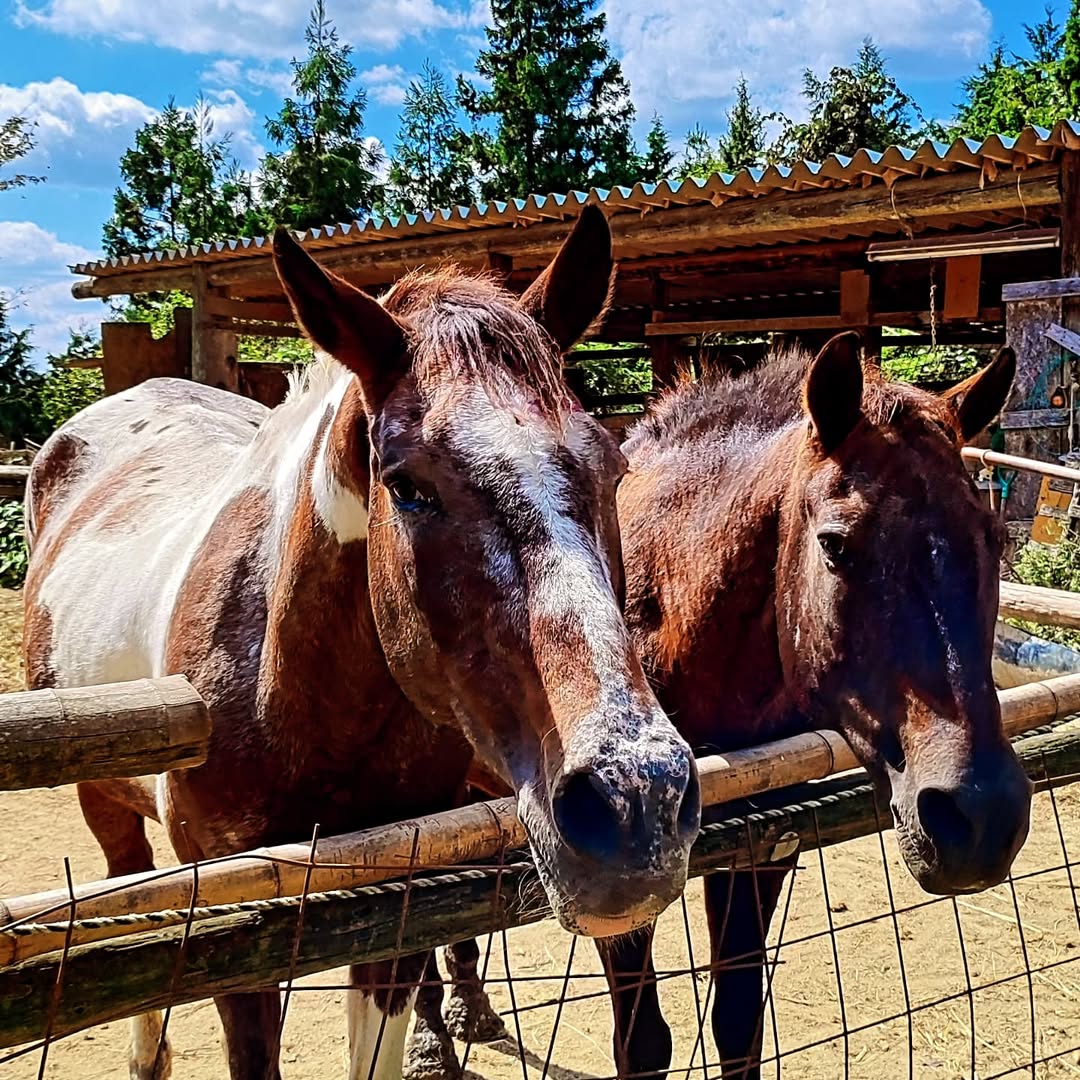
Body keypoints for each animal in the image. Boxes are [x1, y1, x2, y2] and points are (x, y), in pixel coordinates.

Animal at [25, 204, 704, 1080]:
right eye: (408, 486)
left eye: (612, 467)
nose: (634, 806)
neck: (292, 696)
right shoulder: (239, 945)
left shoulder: (394, 918)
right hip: (104, 798)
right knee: (129, 888)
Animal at [600, 332, 1028, 1075]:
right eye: (834, 543)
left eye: (995, 538)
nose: (981, 816)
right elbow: (643, 1042)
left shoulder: (762, 848)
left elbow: (739, 1020)